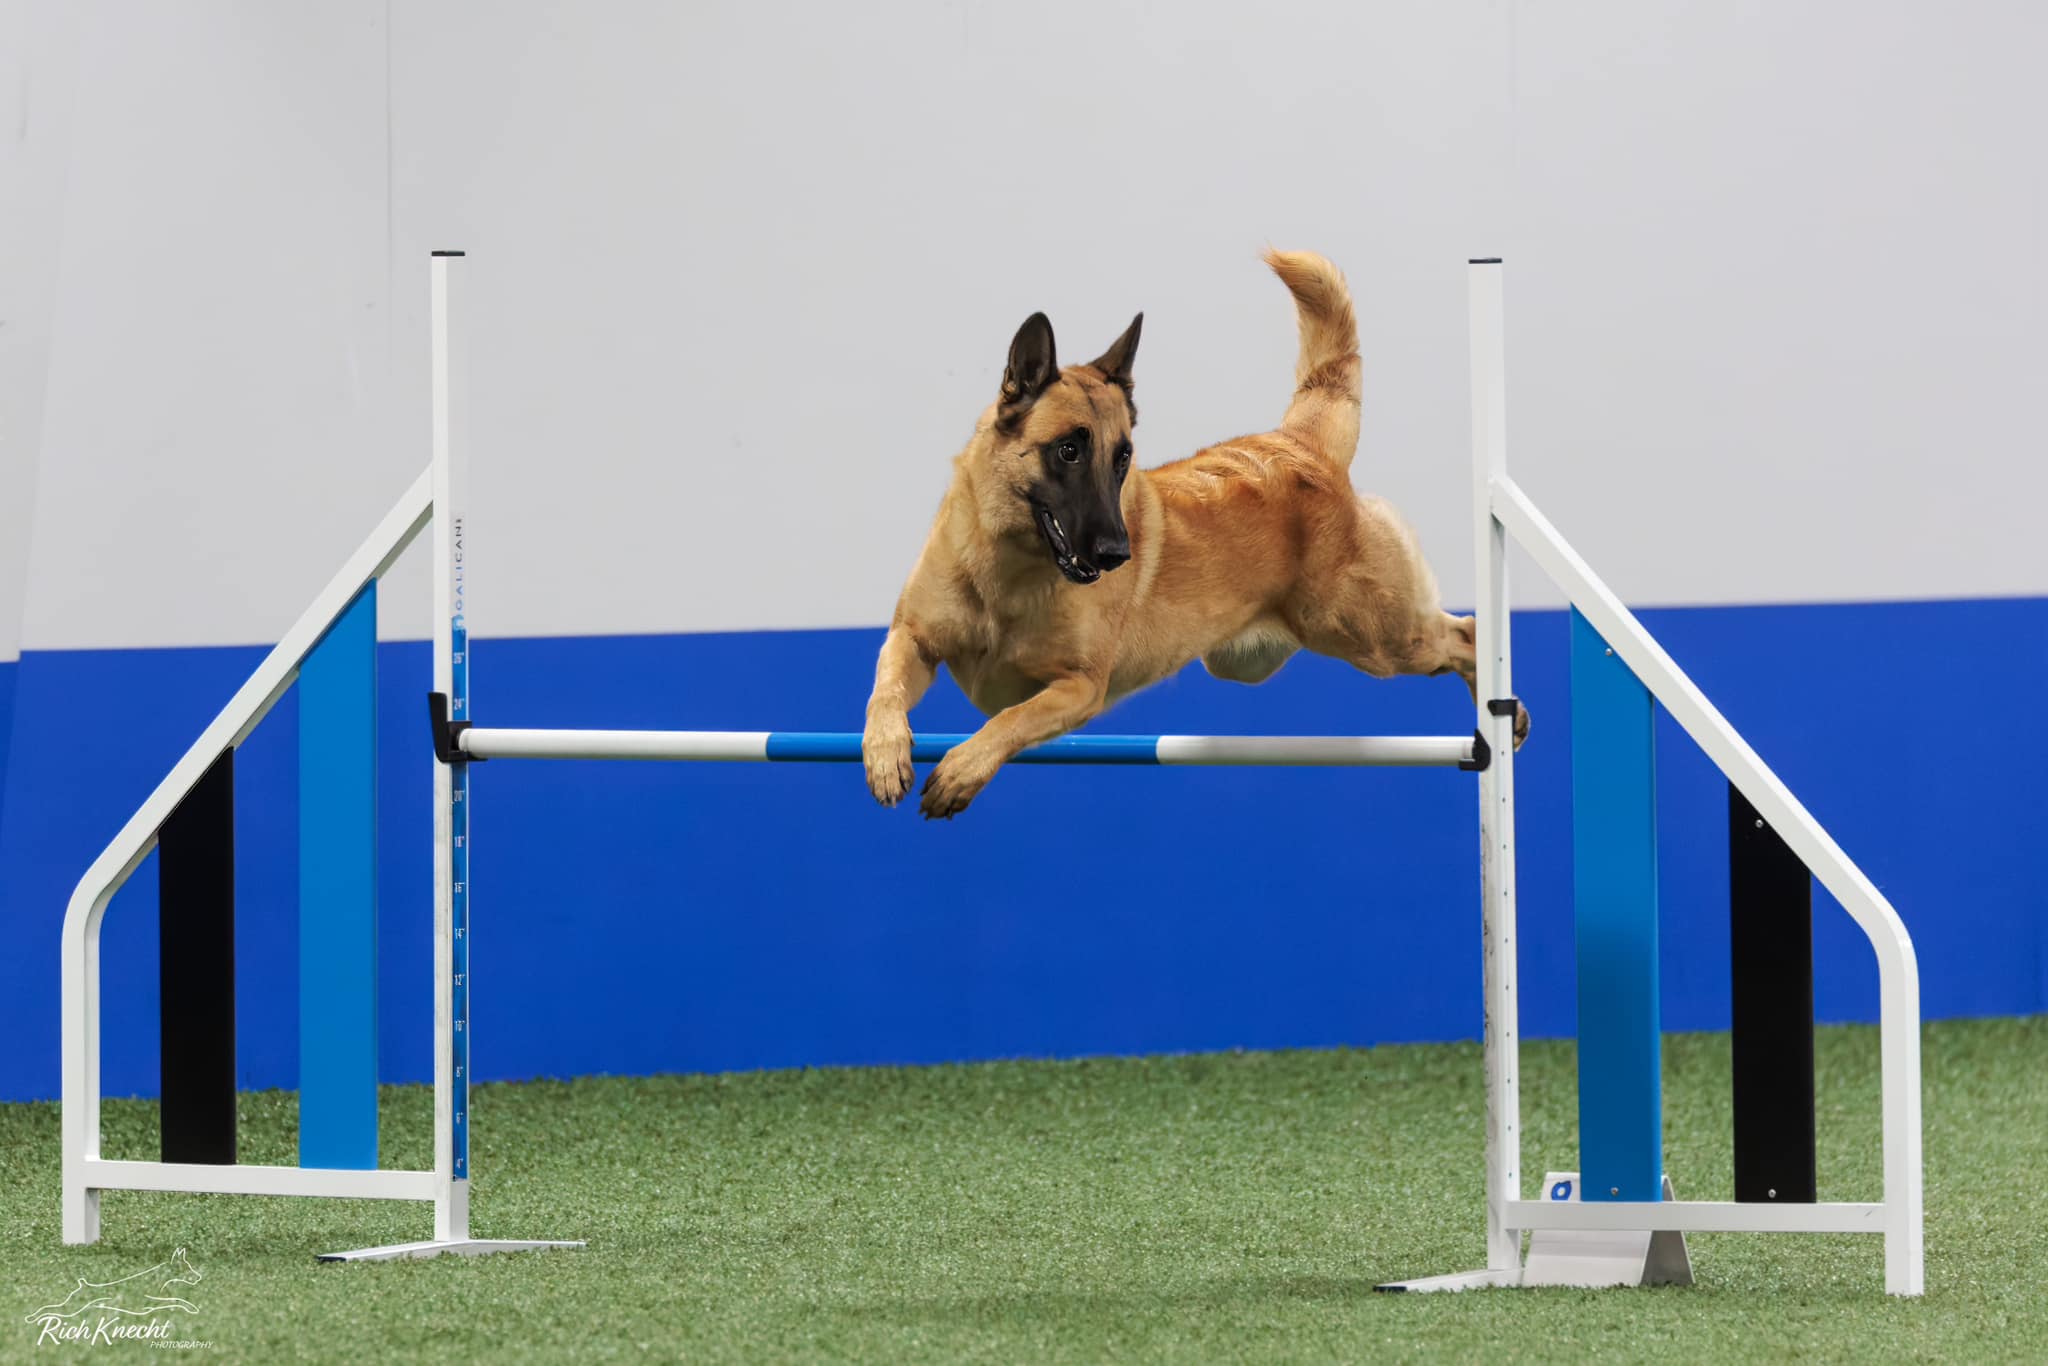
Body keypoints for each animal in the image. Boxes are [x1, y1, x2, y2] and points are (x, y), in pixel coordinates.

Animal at [862, 250, 1529, 819]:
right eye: (1069, 450)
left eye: (1123, 458)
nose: (1118, 554)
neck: (1007, 568)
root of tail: (1298, 443)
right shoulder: (912, 637)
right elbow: (883, 690)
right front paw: (885, 754)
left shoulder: (1078, 689)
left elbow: (1008, 722)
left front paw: (960, 771)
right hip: (1265, 657)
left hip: (1372, 636)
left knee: (1466, 634)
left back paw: (1502, 717)